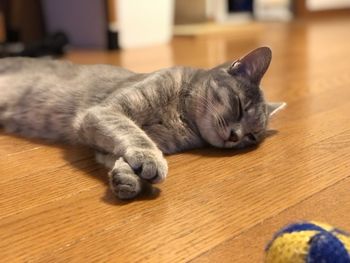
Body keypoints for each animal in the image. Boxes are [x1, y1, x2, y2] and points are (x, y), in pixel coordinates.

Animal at [0, 47, 284, 200]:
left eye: (252, 137)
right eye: (239, 105)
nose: (236, 136)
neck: (181, 118)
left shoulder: (106, 142)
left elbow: (120, 156)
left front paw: (128, 179)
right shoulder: (103, 112)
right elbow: (134, 135)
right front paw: (150, 163)